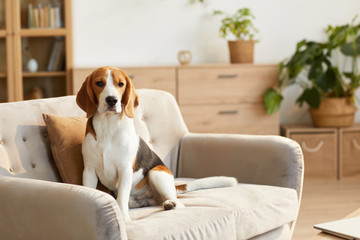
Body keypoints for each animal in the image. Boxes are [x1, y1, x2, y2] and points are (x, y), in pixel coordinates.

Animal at [76, 66, 238, 222]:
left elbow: (121, 197)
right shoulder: (89, 171)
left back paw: (170, 204)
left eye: (120, 84)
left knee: (179, 203)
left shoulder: (125, 170)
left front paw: (124, 218)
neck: (108, 125)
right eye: (99, 83)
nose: (112, 100)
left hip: (156, 172)